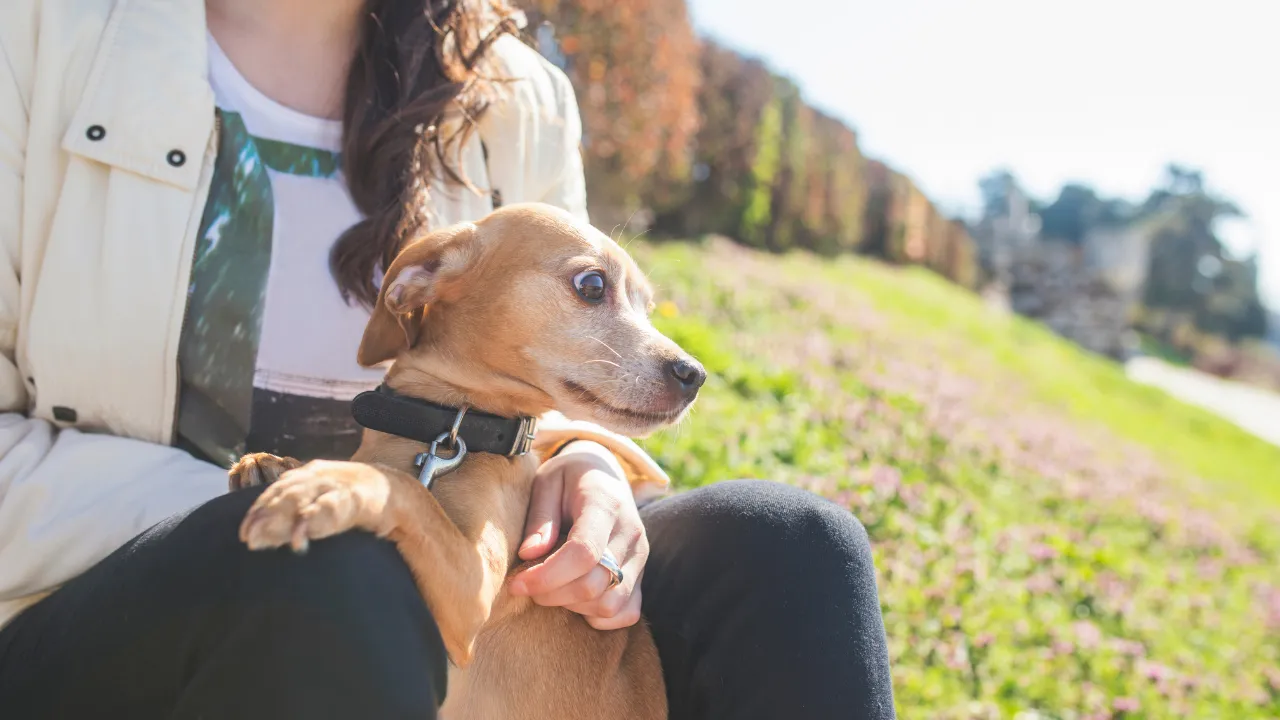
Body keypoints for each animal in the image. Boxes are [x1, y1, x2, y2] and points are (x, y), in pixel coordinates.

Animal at [231, 202, 711, 717]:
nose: (695, 375)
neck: (447, 429)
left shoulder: (473, 597)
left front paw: (327, 484)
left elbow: (403, 488)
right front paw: (273, 463)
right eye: (593, 285)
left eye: (648, 307)